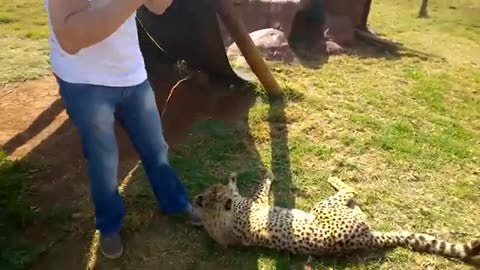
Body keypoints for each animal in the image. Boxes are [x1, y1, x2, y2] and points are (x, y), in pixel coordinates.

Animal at [194, 172, 480, 266]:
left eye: (212, 189)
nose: (215, 188)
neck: (217, 219)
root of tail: (367, 239)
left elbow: (242, 191)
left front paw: (232, 179)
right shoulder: (254, 204)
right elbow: (255, 190)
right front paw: (266, 175)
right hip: (325, 208)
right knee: (353, 192)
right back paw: (336, 179)